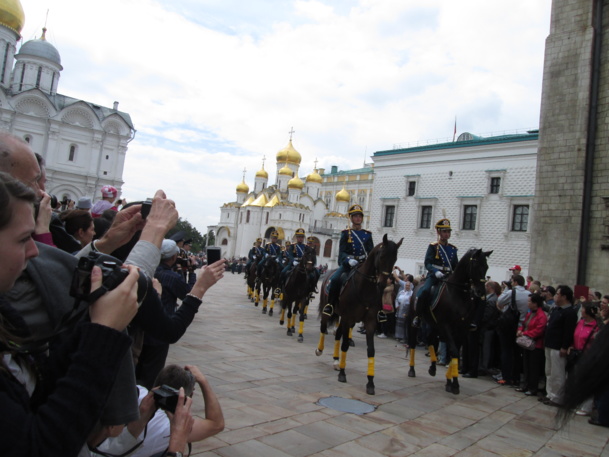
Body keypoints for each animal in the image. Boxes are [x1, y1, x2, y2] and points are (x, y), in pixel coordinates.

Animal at [316, 233, 402, 394]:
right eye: (381, 256)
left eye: (395, 259)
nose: (383, 283)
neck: (365, 288)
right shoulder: (348, 317)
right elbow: (345, 345)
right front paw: (342, 374)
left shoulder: (369, 321)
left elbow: (371, 350)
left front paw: (370, 382)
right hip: (329, 310)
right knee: (323, 328)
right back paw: (320, 350)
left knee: (337, 334)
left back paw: (336, 361)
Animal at [406, 248, 492, 394]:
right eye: (475, 265)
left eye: (486, 267)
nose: (480, 292)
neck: (458, 294)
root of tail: (418, 286)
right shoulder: (446, 326)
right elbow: (454, 351)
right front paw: (455, 384)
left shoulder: (461, 329)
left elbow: (453, 353)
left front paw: (450, 382)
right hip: (417, 321)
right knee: (413, 343)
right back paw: (412, 369)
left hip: (434, 325)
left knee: (430, 340)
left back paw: (433, 367)